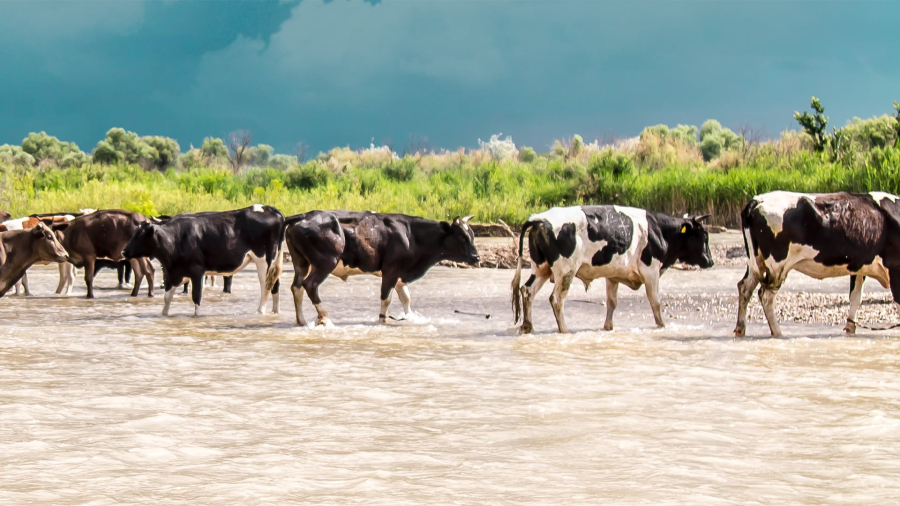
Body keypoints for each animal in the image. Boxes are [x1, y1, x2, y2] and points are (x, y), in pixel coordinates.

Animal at [119, 205, 282, 316]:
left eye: (140, 235)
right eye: (134, 233)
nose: (124, 251)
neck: (176, 239)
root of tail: (270, 209)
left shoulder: (197, 271)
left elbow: (196, 297)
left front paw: (196, 316)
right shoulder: (172, 272)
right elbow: (167, 298)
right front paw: (164, 314)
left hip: (263, 260)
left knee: (266, 286)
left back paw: (260, 311)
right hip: (272, 262)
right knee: (275, 285)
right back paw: (275, 312)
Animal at [284, 211, 482, 326]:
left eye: (472, 235)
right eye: (462, 237)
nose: (477, 257)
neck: (411, 235)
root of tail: (304, 216)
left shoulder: (401, 274)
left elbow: (406, 299)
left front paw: (410, 317)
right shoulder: (391, 271)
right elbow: (386, 298)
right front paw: (383, 319)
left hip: (301, 263)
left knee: (296, 287)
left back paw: (301, 320)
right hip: (325, 262)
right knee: (310, 285)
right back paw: (324, 317)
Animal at [510, 204, 712, 334]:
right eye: (703, 235)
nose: (710, 261)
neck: (659, 231)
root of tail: (538, 220)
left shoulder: (613, 275)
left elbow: (612, 302)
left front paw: (608, 327)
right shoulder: (651, 271)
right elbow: (655, 301)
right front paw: (662, 326)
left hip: (541, 268)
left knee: (527, 290)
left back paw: (527, 326)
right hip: (566, 271)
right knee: (557, 299)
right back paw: (564, 329)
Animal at [736, 190, 900, 336]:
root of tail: (757, 200)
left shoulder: (859, 267)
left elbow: (855, 298)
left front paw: (850, 330)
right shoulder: (894, 267)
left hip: (756, 260)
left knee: (745, 287)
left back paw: (740, 329)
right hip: (777, 265)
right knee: (766, 295)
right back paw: (777, 333)